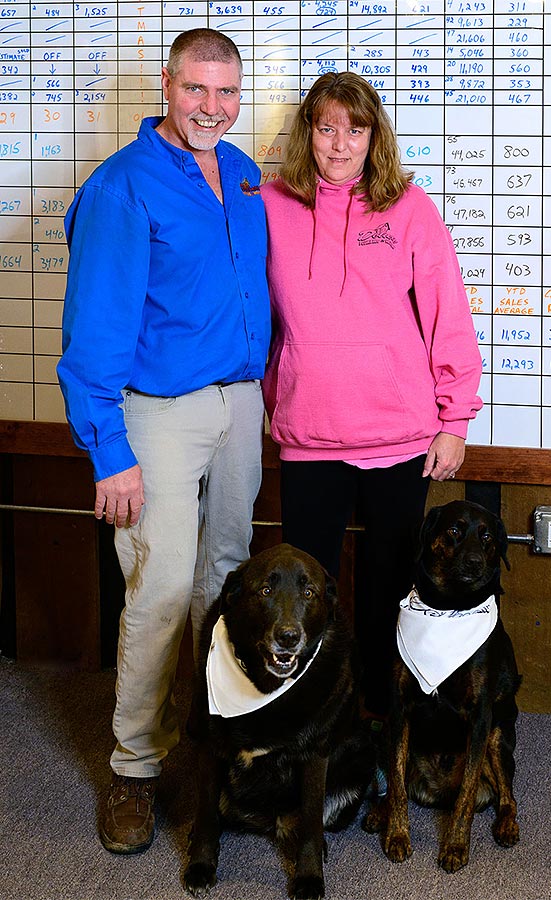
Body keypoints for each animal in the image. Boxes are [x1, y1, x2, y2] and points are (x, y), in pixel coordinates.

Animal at [366, 500, 520, 872]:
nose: (476, 562)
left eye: (487, 536)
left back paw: (507, 825)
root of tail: (437, 792)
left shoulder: (480, 717)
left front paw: (455, 846)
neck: (447, 608)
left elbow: (465, 794)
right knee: (397, 781)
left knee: (506, 795)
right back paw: (378, 812)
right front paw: (397, 836)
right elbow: (396, 786)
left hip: (498, 737)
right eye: (454, 530)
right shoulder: (399, 709)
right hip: (385, 732)